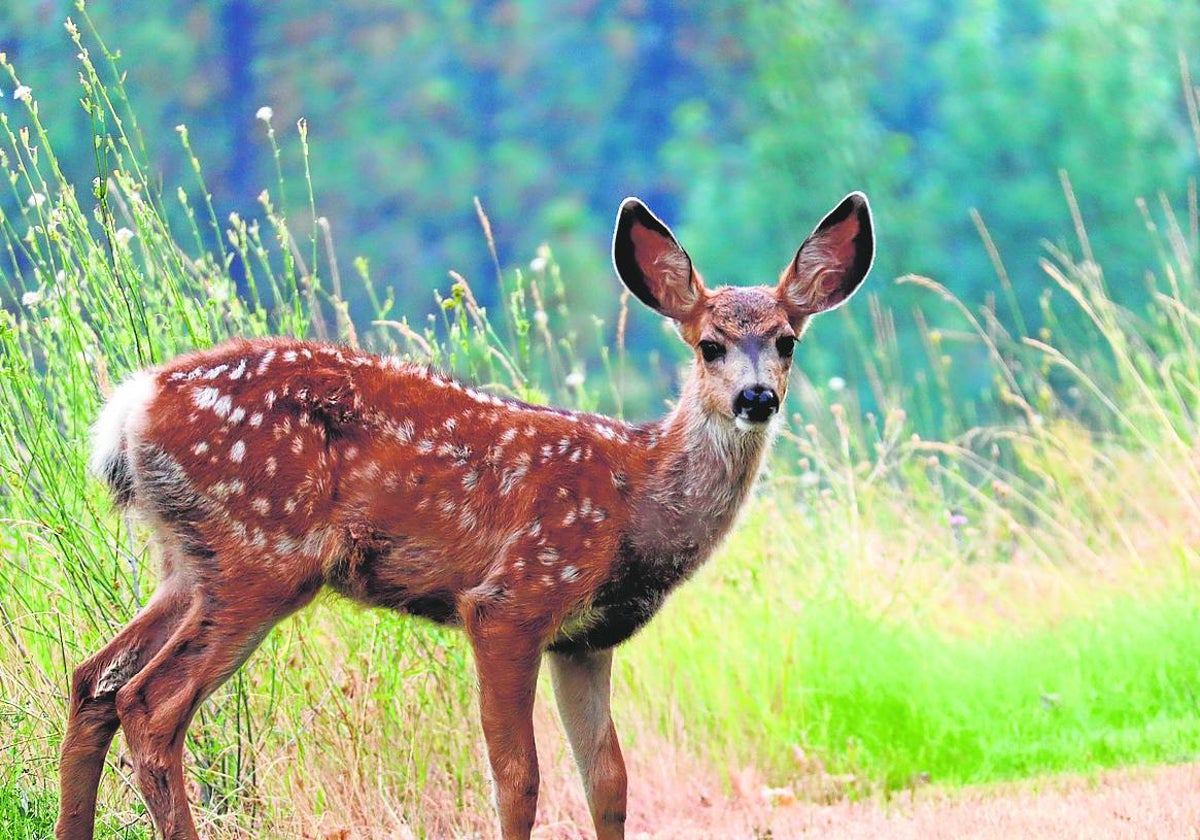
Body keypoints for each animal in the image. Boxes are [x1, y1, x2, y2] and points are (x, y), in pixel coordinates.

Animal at [56, 192, 878, 840]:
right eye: (709, 346)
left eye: (786, 342)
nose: (756, 397)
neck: (634, 500)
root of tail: (132, 406)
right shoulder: (513, 598)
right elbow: (519, 776)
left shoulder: (584, 639)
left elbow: (608, 780)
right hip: (260, 553)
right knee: (149, 703)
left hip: (187, 561)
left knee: (93, 681)